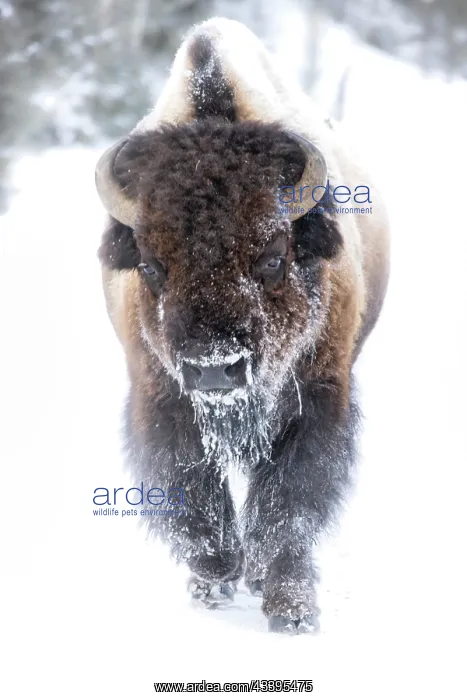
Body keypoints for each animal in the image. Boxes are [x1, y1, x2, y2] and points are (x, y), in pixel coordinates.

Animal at [95, 18, 390, 634]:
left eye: (273, 257)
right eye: (151, 266)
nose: (215, 370)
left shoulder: (317, 397)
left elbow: (289, 502)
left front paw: (292, 610)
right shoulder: (161, 397)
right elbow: (193, 492)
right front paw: (215, 575)